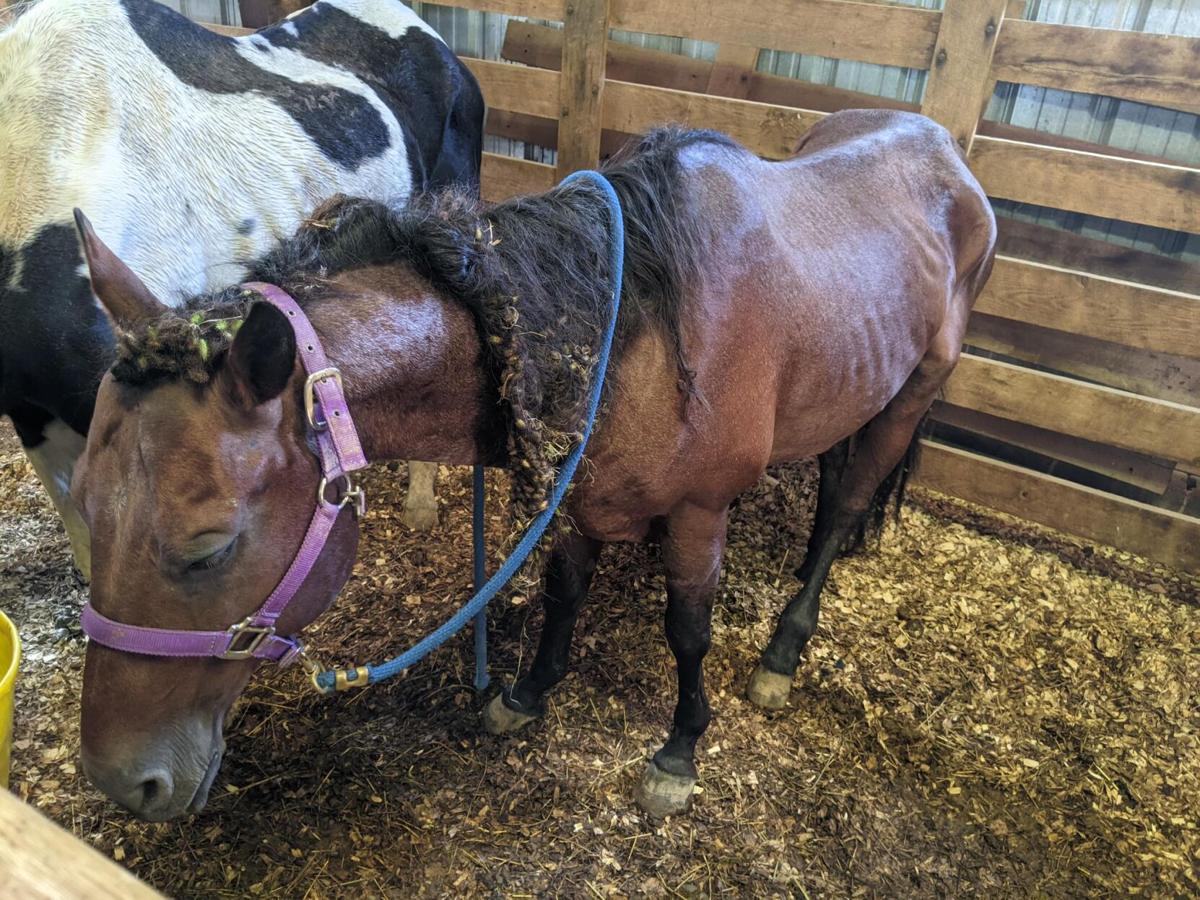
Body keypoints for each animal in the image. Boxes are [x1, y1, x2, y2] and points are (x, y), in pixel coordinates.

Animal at [71, 110, 996, 821]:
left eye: (208, 548)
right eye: (81, 504)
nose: (122, 780)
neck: (628, 333)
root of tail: (947, 152)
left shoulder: (700, 512)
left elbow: (688, 630)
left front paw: (679, 750)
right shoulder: (580, 484)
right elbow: (565, 590)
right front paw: (529, 690)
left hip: (915, 390)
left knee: (844, 506)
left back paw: (784, 649)